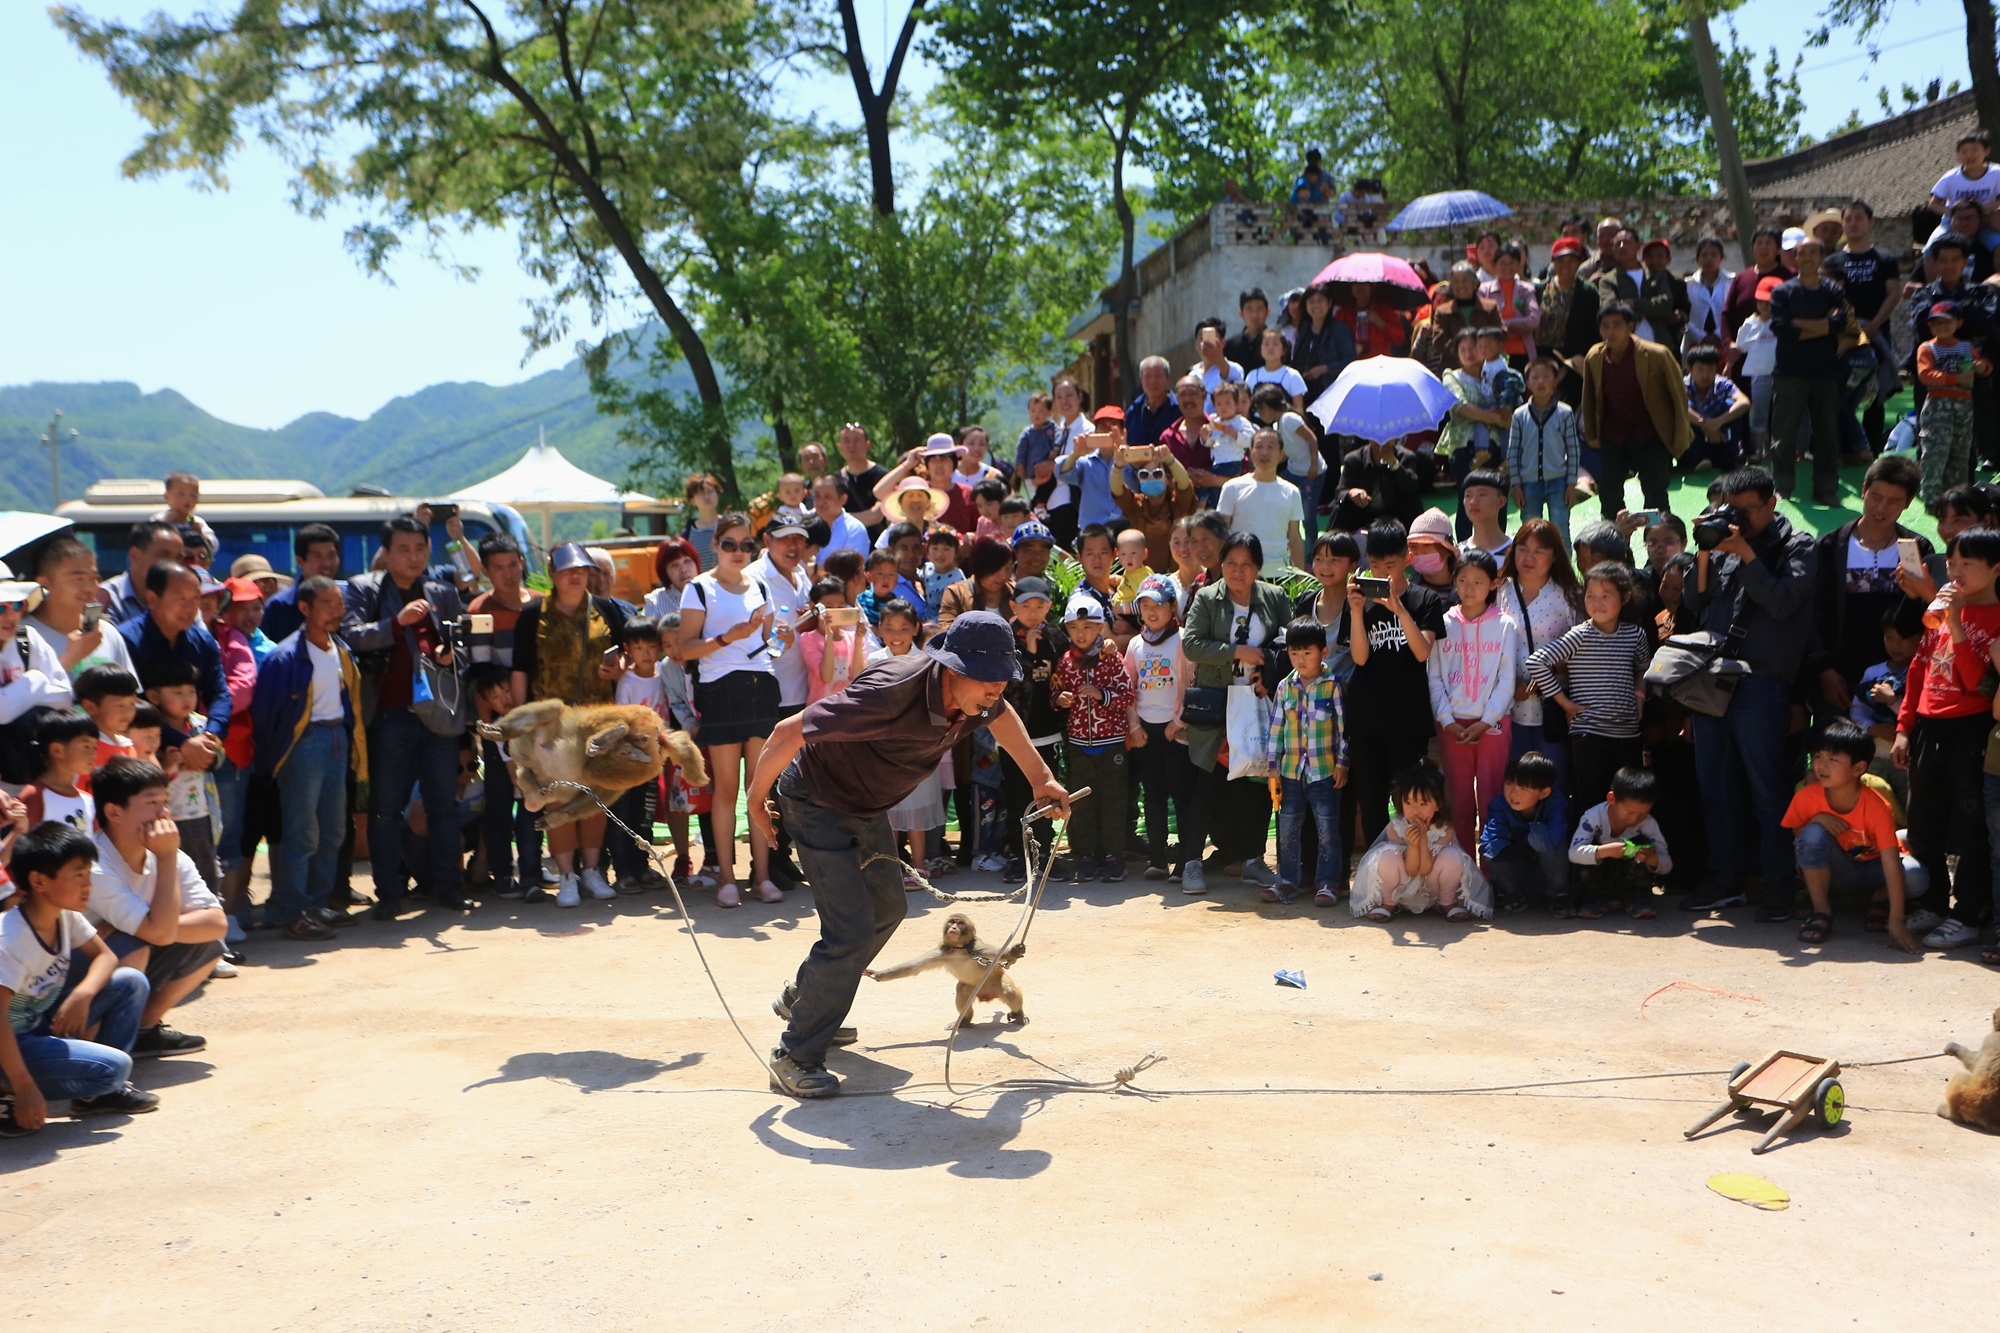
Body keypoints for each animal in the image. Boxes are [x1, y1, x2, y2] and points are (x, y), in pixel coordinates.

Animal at [868, 912, 1032, 1024]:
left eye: (960, 923)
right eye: (952, 922)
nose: (953, 927)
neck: (959, 949)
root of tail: (985, 994)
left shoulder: (976, 948)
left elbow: (996, 953)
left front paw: (1013, 952)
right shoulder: (941, 952)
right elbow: (913, 967)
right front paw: (879, 974)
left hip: (994, 982)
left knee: (1010, 992)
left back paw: (1018, 1014)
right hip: (971, 989)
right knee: (962, 994)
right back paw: (964, 1021)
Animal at [1936, 1000, 2000, 1128]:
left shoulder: (1989, 1039)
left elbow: (1974, 1064)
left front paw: (1955, 1048)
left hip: (1971, 1103)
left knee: (1961, 1078)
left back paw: (1950, 1114)